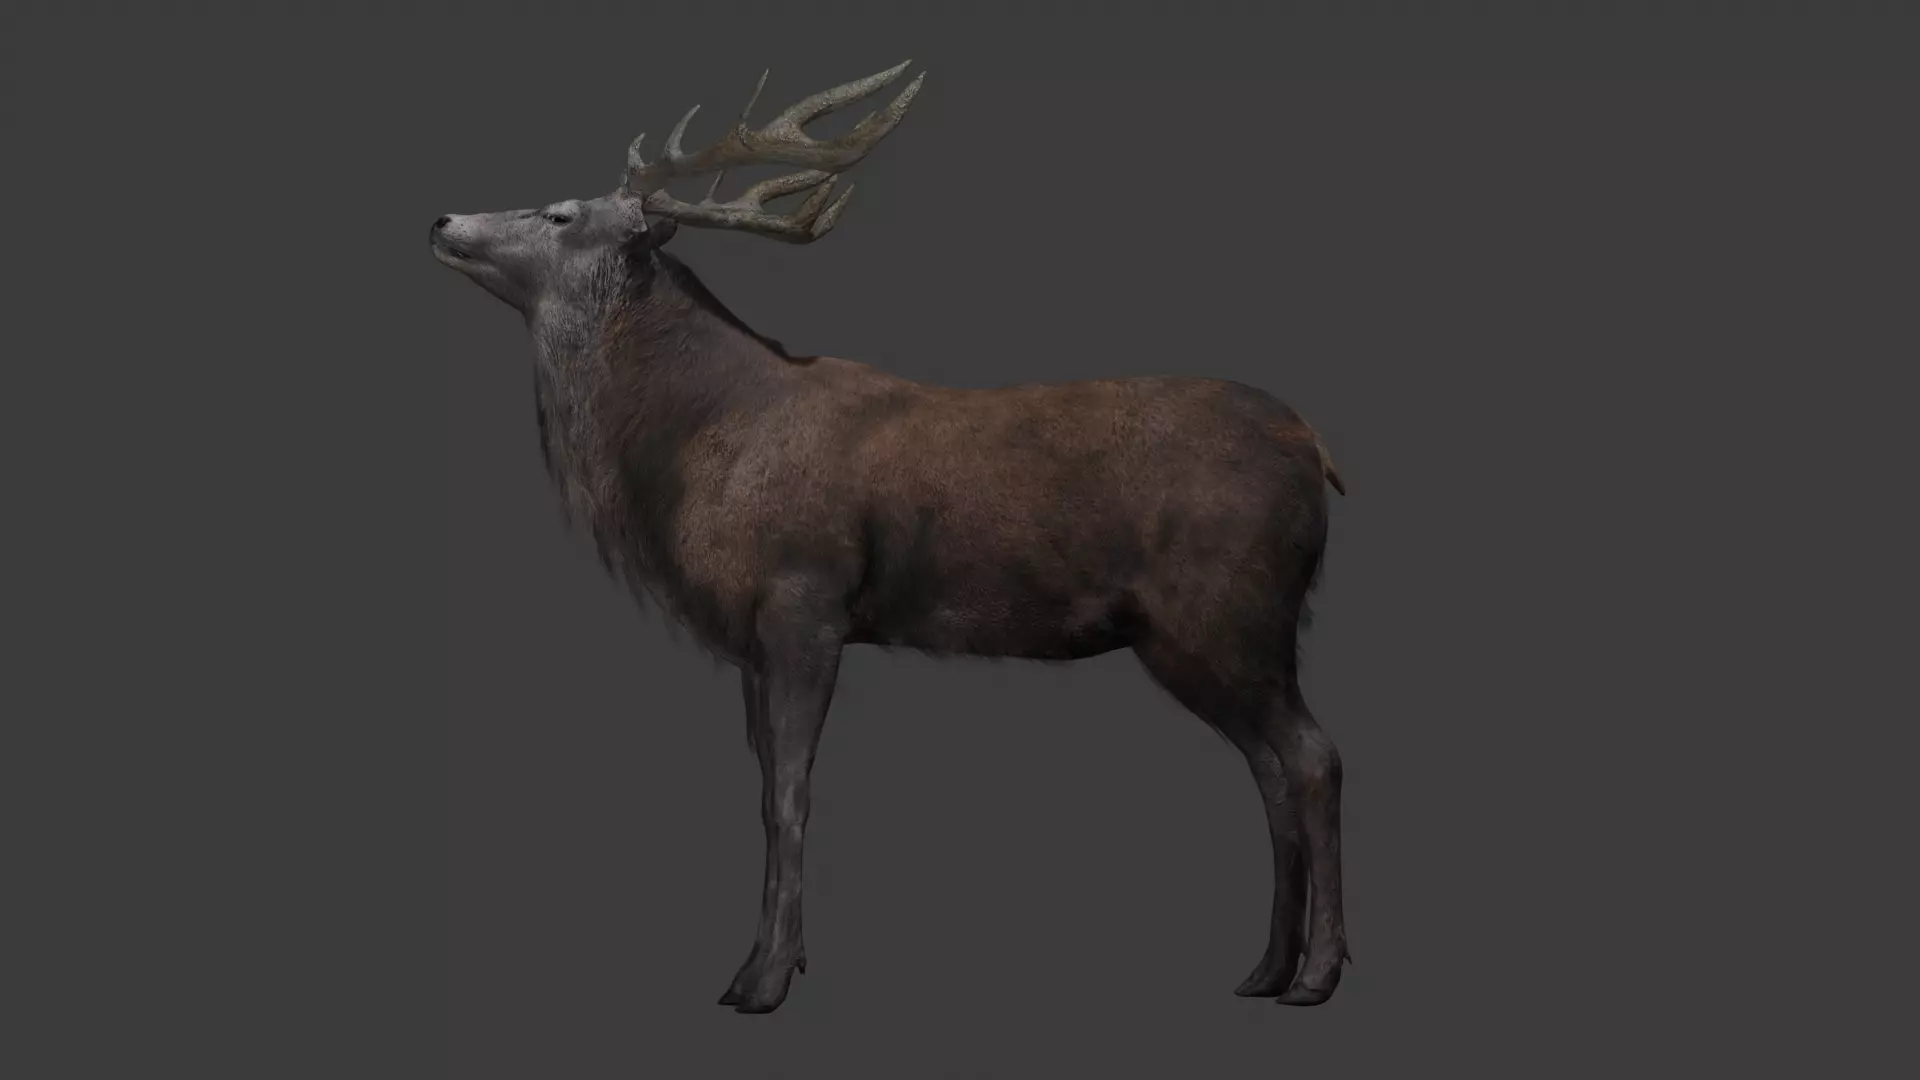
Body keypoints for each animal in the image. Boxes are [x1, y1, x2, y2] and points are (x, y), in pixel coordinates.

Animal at [430, 60, 1353, 1015]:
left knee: (1315, 759)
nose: (443, 220)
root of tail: (1314, 448)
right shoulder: (752, 639)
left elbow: (789, 793)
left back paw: (1316, 976)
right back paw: (1265, 970)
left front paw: (764, 981)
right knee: (1273, 771)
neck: (697, 445)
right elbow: (763, 787)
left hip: (1229, 611)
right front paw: (765, 965)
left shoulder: (803, 597)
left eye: (561, 213)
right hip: (1211, 634)